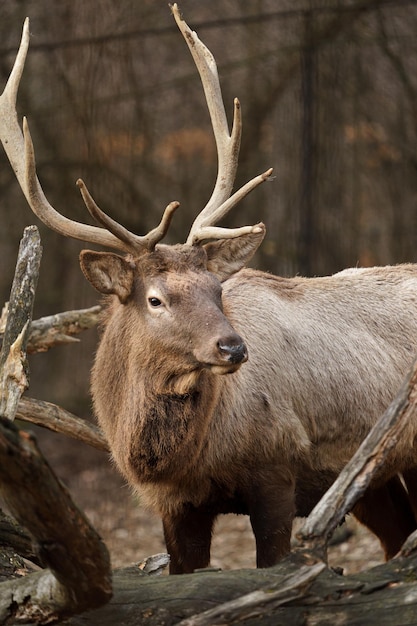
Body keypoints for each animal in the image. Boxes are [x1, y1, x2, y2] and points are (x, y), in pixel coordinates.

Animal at [0, 4, 416, 572]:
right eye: (155, 299)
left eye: (218, 291)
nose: (234, 347)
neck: (188, 459)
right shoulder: (174, 506)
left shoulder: (277, 470)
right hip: (374, 476)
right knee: (400, 537)